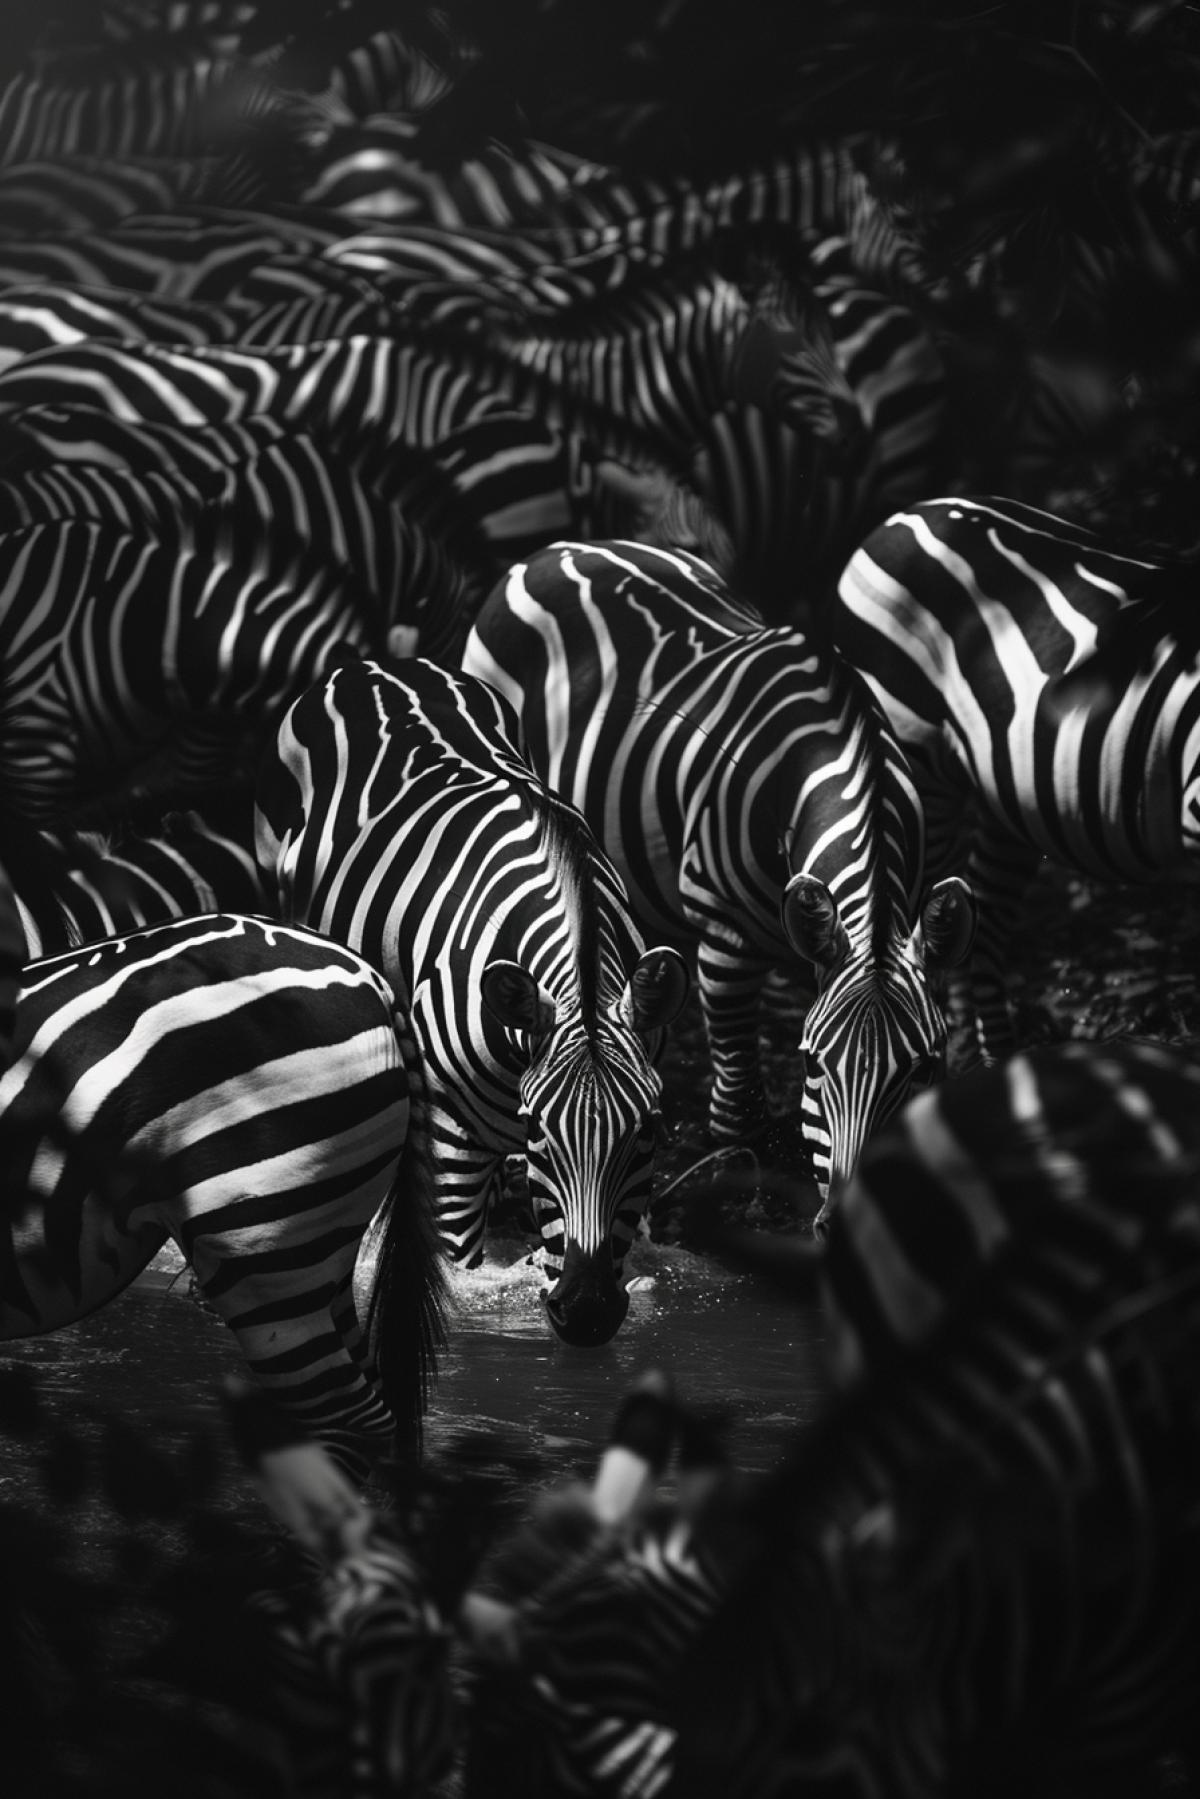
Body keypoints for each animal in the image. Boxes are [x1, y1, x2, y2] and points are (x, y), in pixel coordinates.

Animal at [254, 655, 690, 1346]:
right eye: (538, 1131)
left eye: (646, 1131)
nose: (587, 1313)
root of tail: (378, 662)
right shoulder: (451, 1134)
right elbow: (457, 1280)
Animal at [461, 538, 976, 1210]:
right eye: (813, 1064)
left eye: (926, 1069)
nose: (845, 1218)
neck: (830, 755)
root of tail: (563, 548)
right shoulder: (727, 945)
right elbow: (740, 1119)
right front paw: (743, 1198)